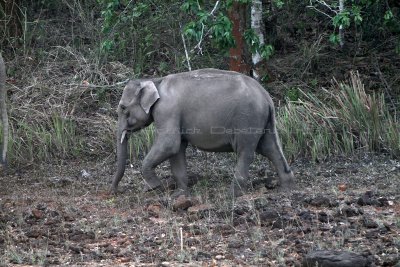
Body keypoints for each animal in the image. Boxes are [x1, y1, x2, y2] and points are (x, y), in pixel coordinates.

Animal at [111, 68, 294, 198]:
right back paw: (286, 189)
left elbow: (169, 144)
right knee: (270, 148)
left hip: (248, 119)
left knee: (246, 152)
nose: (114, 190)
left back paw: (231, 195)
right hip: (261, 121)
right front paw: (180, 195)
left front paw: (154, 187)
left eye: (123, 108)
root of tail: (267, 97)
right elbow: (177, 149)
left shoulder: (167, 110)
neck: (156, 81)